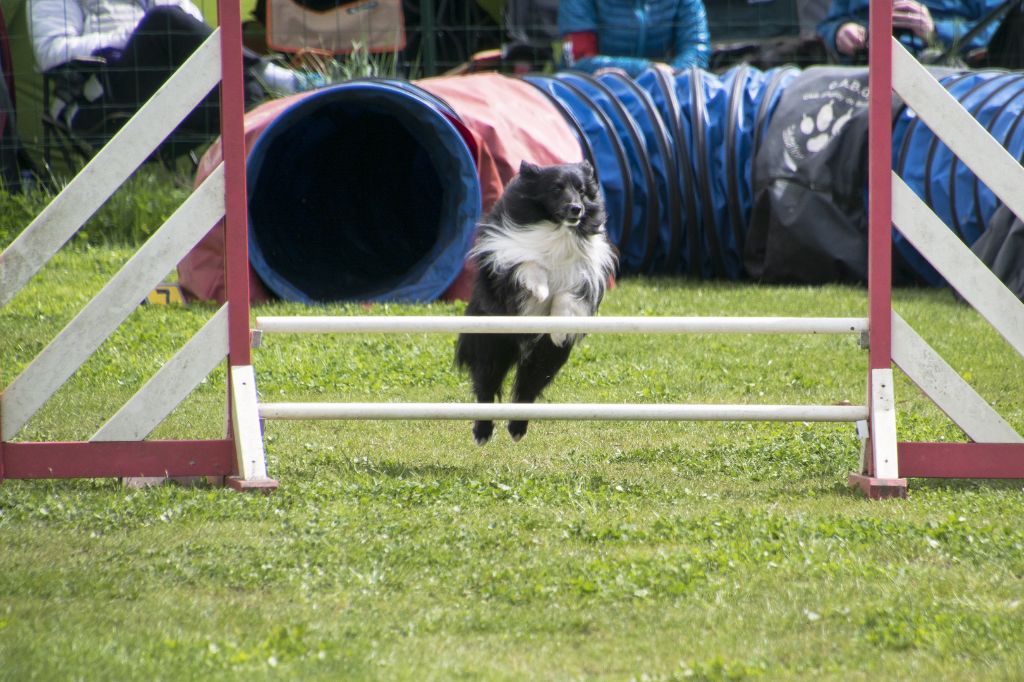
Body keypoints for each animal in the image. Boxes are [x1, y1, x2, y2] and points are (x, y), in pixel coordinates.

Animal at [456, 161, 614, 444]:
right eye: (556, 188)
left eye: (581, 190)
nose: (577, 209)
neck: (557, 228)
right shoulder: (504, 263)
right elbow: (529, 263)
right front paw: (540, 291)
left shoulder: (583, 276)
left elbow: (566, 297)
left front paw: (559, 329)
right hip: (492, 343)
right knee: (486, 385)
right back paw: (482, 432)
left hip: (545, 356)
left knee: (527, 388)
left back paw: (517, 429)